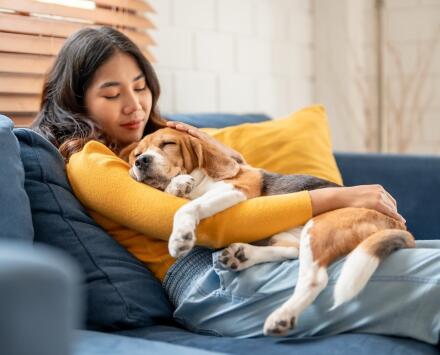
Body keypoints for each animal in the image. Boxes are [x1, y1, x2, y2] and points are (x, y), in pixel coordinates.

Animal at [119, 127, 412, 336]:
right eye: (136, 154)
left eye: (168, 144)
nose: (141, 162)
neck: (203, 178)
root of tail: (398, 223)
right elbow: (181, 195)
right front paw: (178, 185)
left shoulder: (237, 190)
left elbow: (188, 207)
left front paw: (181, 234)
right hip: (293, 233)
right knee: (291, 251)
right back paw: (243, 255)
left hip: (320, 226)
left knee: (315, 277)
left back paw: (282, 315)